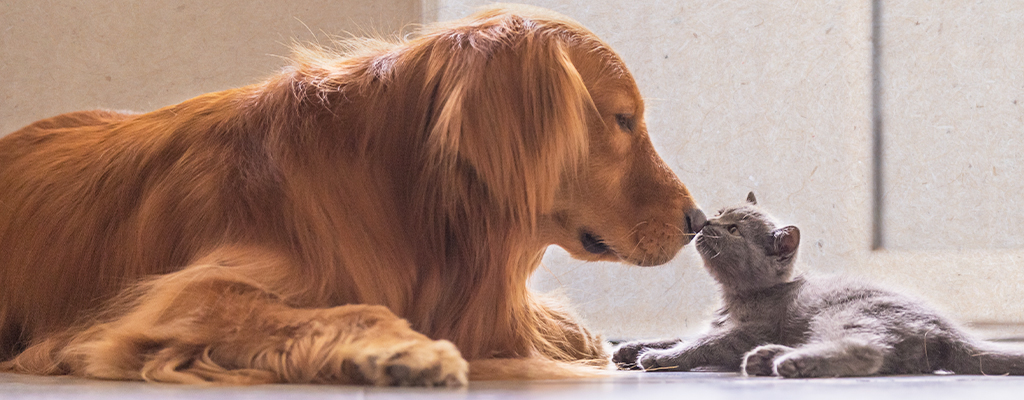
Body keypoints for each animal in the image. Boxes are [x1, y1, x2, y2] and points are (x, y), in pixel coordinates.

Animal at [0, 4, 704, 386]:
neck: (405, 195)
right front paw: (405, 347)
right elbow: (348, 308)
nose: (698, 220)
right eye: (623, 120)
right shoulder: (180, 297)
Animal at [614, 194, 1024, 378]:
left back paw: (790, 361)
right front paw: (632, 347)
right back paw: (768, 358)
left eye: (732, 230)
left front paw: (658, 358)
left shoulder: (746, 332)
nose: (704, 224)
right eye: (719, 213)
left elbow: (702, 344)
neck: (734, 297)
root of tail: (946, 328)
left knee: (868, 352)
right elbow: (681, 334)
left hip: (845, 315)